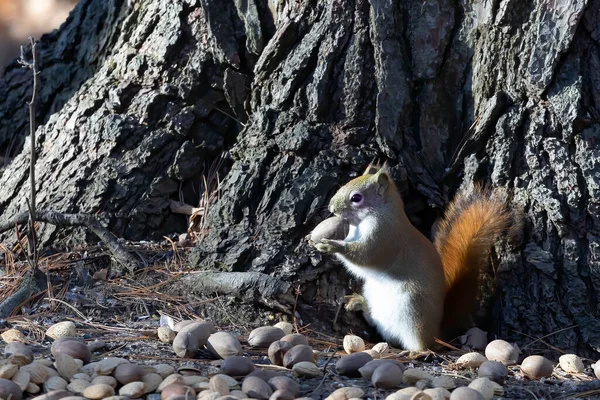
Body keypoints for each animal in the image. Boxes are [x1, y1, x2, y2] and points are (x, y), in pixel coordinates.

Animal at [312, 162, 512, 350]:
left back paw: (417, 351)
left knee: (424, 343)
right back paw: (360, 302)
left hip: (414, 310)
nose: (331, 207)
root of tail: (438, 332)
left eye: (356, 198)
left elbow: (364, 256)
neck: (377, 215)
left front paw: (332, 245)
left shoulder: (384, 238)